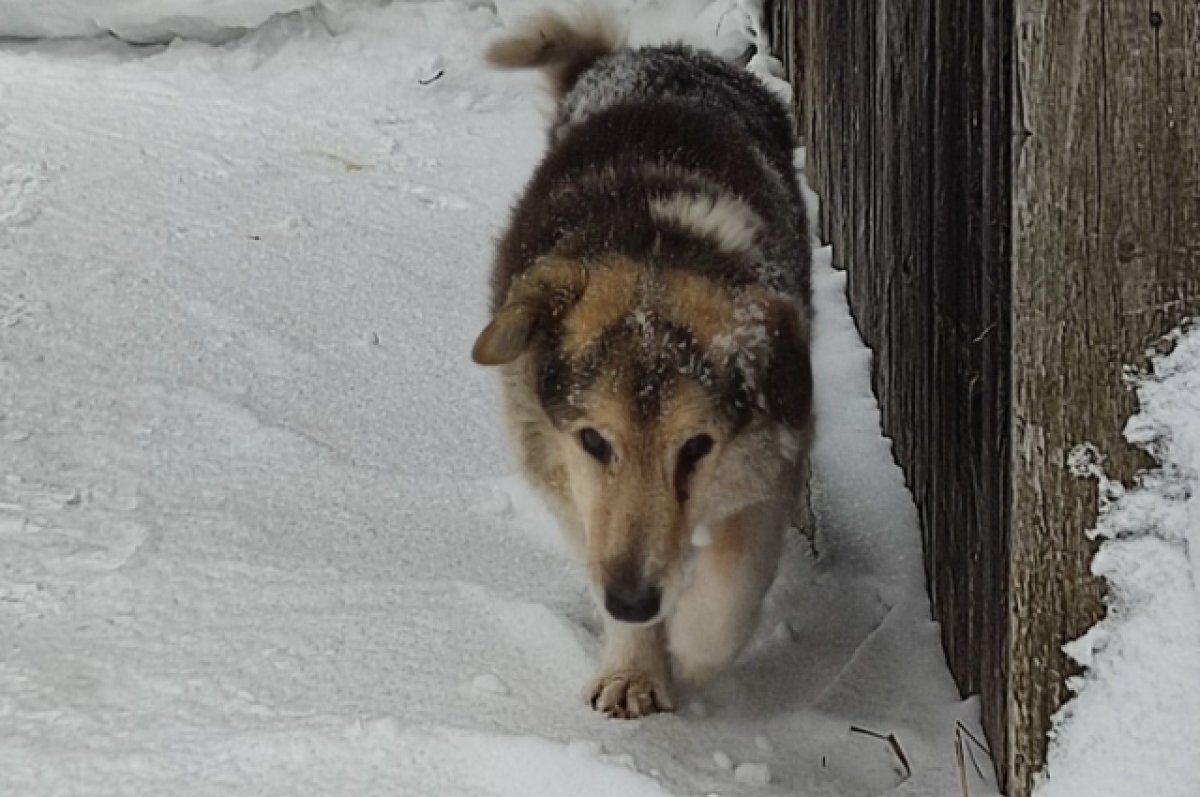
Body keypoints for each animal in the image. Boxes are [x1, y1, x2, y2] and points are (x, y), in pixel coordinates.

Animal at [470, 7, 816, 715]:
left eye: (696, 447)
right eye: (594, 441)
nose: (632, 601)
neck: (657, 247)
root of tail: (653, 57)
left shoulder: (774, 452)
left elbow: (734, 587)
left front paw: (689, 647)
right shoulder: (561, 469)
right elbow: (597, 541)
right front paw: (634, 669)